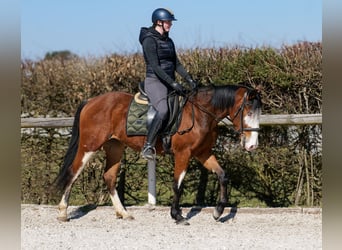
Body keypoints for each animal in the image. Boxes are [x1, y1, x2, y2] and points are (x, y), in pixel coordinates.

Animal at [52, 83, 262, 225]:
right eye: (248, 112)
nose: (252, 146)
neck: (200, 113)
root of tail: (91, 101)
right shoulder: (183, 154)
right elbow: (177, 185)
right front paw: (177, 215)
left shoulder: (203, 153)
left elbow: (223, 176)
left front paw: (218, 212)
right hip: (89, 146)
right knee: (73, 173)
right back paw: (62, 213)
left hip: (115, 147)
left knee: (109, 177)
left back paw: (123, 213)